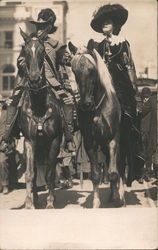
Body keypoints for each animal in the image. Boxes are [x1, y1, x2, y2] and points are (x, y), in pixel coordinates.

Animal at [69, 42, 124, 207]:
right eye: (74, 71)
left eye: (91, 69)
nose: (85, 104)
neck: (98, 109)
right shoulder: (90, 143)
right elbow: (95, 174)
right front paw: (96, 202)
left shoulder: (113, 139)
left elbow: (113, 172)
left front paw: (117, 198)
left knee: (120, 165)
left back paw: (120, 194)